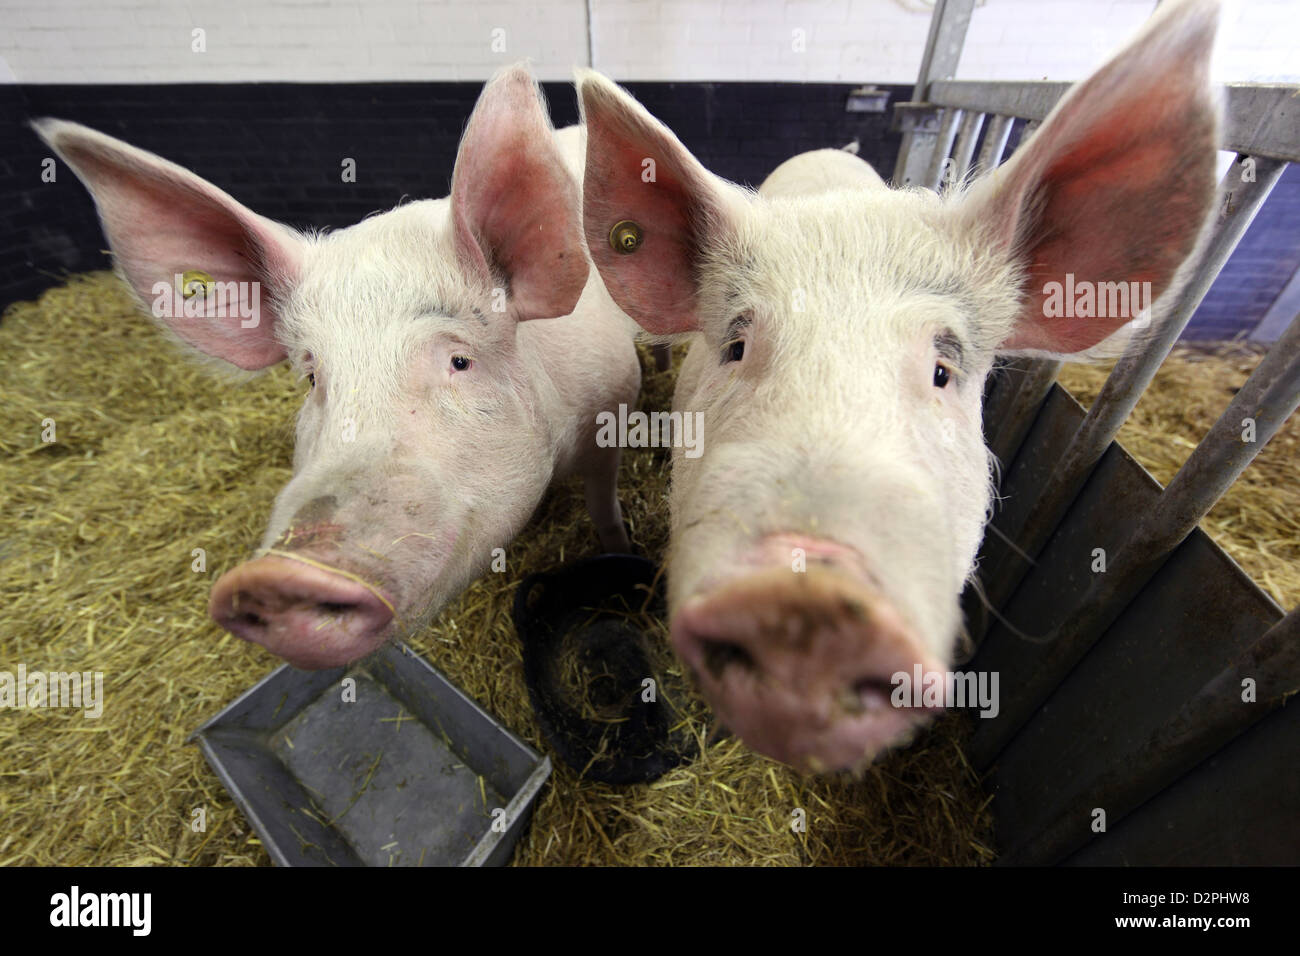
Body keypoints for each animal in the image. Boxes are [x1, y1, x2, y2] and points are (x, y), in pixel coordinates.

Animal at [38, 63, 647, 671]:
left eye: (460, 361)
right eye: (312, 377)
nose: (278, 577)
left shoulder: (613, 402)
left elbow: (604, 505)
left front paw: (620, 550)